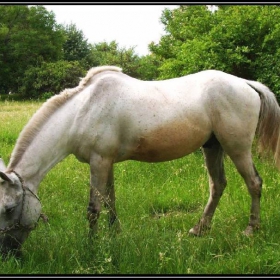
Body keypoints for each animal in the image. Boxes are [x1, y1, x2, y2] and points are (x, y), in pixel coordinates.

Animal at [0, 65, 280, 258]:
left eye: (9, 209)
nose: (8, 255)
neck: (82, 111)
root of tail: (246, 83)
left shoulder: (99, 161)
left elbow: (94, 208)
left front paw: (91, 247)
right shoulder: (107, 162)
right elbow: (110, 201)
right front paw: (115, 235)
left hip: (237, 148)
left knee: (254, 183)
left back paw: (251, 230)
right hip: (213, 147)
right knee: (218, 185)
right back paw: (199, 230)